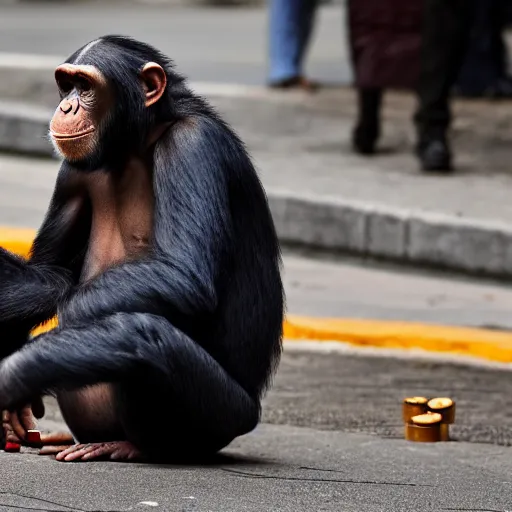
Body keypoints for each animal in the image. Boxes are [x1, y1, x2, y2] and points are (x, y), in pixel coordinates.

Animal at [0, 35, 284, 460]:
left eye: (85, 86)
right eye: (66, 85)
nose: (66, 106)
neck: (135, 143)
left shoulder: (193, 145)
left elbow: (182, 276)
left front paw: (15, 371)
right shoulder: (71, 172)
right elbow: (52, 271)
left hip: (221, 420)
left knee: (146, 336)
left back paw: (128, 444)